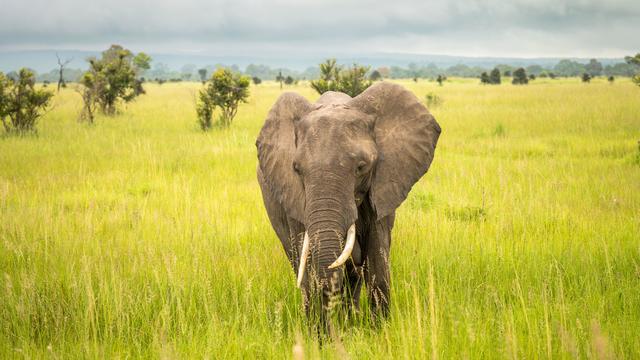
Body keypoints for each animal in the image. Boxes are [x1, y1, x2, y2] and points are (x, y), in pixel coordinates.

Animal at [255, 81, 440, 330]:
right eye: (296, 169)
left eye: (361, 167)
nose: (327, 332)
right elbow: (308, 261)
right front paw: (318, 335)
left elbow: (377, 256)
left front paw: (379, 332)